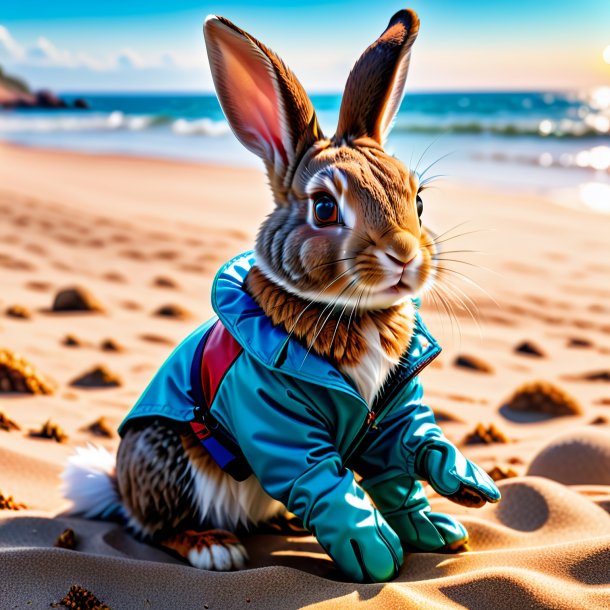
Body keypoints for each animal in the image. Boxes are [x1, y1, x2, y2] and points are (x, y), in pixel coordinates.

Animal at [61, 8, 498, 580]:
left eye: (418, 200)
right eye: (325, 209)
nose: (404, 255)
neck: (351, 312)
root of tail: (121, 487)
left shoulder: (390, 415)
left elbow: (405, 458)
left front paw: (441, 516)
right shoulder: (274, 417)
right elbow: (322, 479)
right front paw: (370, 548)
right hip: (169, 459)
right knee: (158, 528)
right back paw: (213, 547)